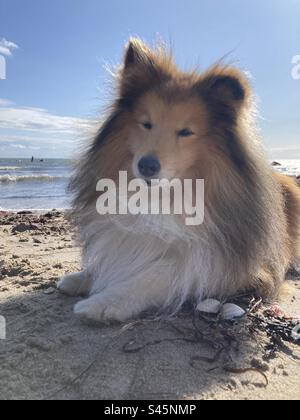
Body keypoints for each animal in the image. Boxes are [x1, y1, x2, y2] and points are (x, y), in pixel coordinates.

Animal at [56, 39, 300, 322]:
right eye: (146, 123)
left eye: (186, 132)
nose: (146, 166)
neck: (166, 195)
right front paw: (81, 277)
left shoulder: (237, 266)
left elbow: (162, 274)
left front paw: (106, 301)